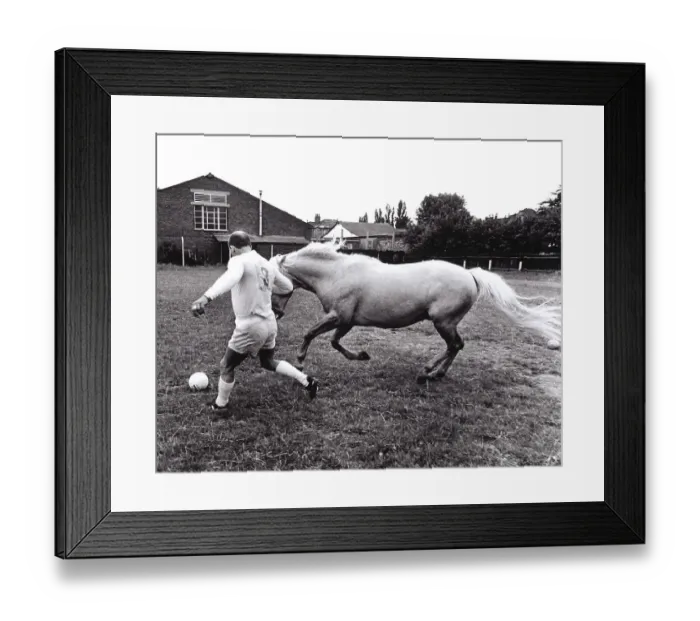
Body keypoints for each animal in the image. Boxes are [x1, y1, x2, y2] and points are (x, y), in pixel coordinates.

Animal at [270, 243, 561, 383]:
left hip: (443, 322)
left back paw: (427, 371)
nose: (277, 313)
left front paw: (299, 363)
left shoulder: (338, 316)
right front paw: (362, 356)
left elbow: (310, 334)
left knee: (455, 345)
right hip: (446, 323)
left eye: (271, 280)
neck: (336, 274)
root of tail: (470, 274)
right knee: (457, 346)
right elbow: (334, 342)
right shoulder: (347, 321)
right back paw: (436, 374)